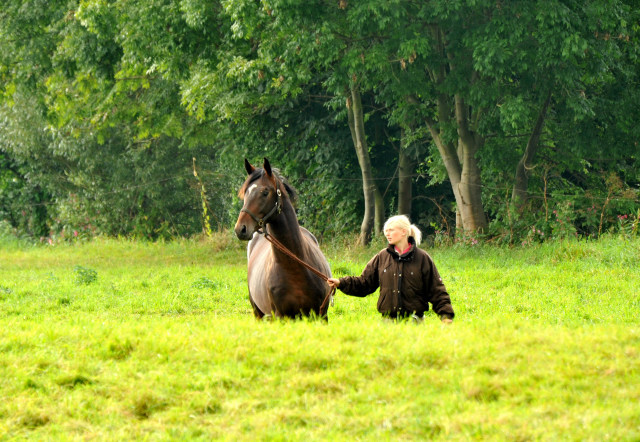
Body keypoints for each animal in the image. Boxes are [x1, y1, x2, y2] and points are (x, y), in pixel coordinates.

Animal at [235, 157, 336, 320]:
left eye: (265, 192)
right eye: (246, 193)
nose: (241, 229)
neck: (295, 267)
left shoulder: (321, 315)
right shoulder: (281, 316)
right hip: (259, 313)